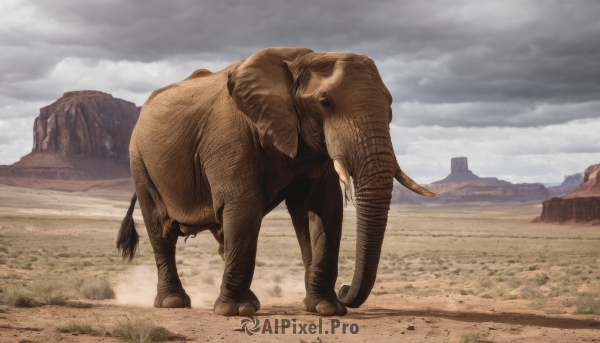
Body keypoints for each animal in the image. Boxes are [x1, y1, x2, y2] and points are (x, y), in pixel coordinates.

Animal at [116, 47, 436, 318]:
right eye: (324, 103)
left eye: (391, 106)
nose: (346, 290)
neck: (300, 61)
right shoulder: (229, 136)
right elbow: (244, 208)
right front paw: (234, 312)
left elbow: (323, 210)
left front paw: (325, 309)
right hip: (139, 161)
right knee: (162, 230)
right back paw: (174, 303)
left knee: (223, 232)